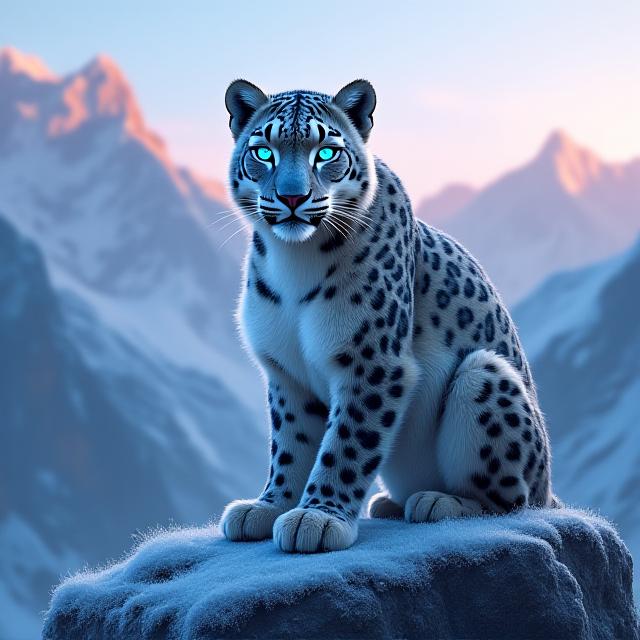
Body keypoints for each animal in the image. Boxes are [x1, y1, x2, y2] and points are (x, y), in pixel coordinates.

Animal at [219, 78, 558, 553]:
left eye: (327, 152)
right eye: (264, 151)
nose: (292, 196)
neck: (293, 263)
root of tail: (550, 487)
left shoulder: (372, 361)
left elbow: (346, 443)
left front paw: (317, 517)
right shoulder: (286, 371)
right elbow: (291, 443)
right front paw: (269, 506)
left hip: (484, 376)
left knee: (513, 499)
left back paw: (438, 502)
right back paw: (390, 503)